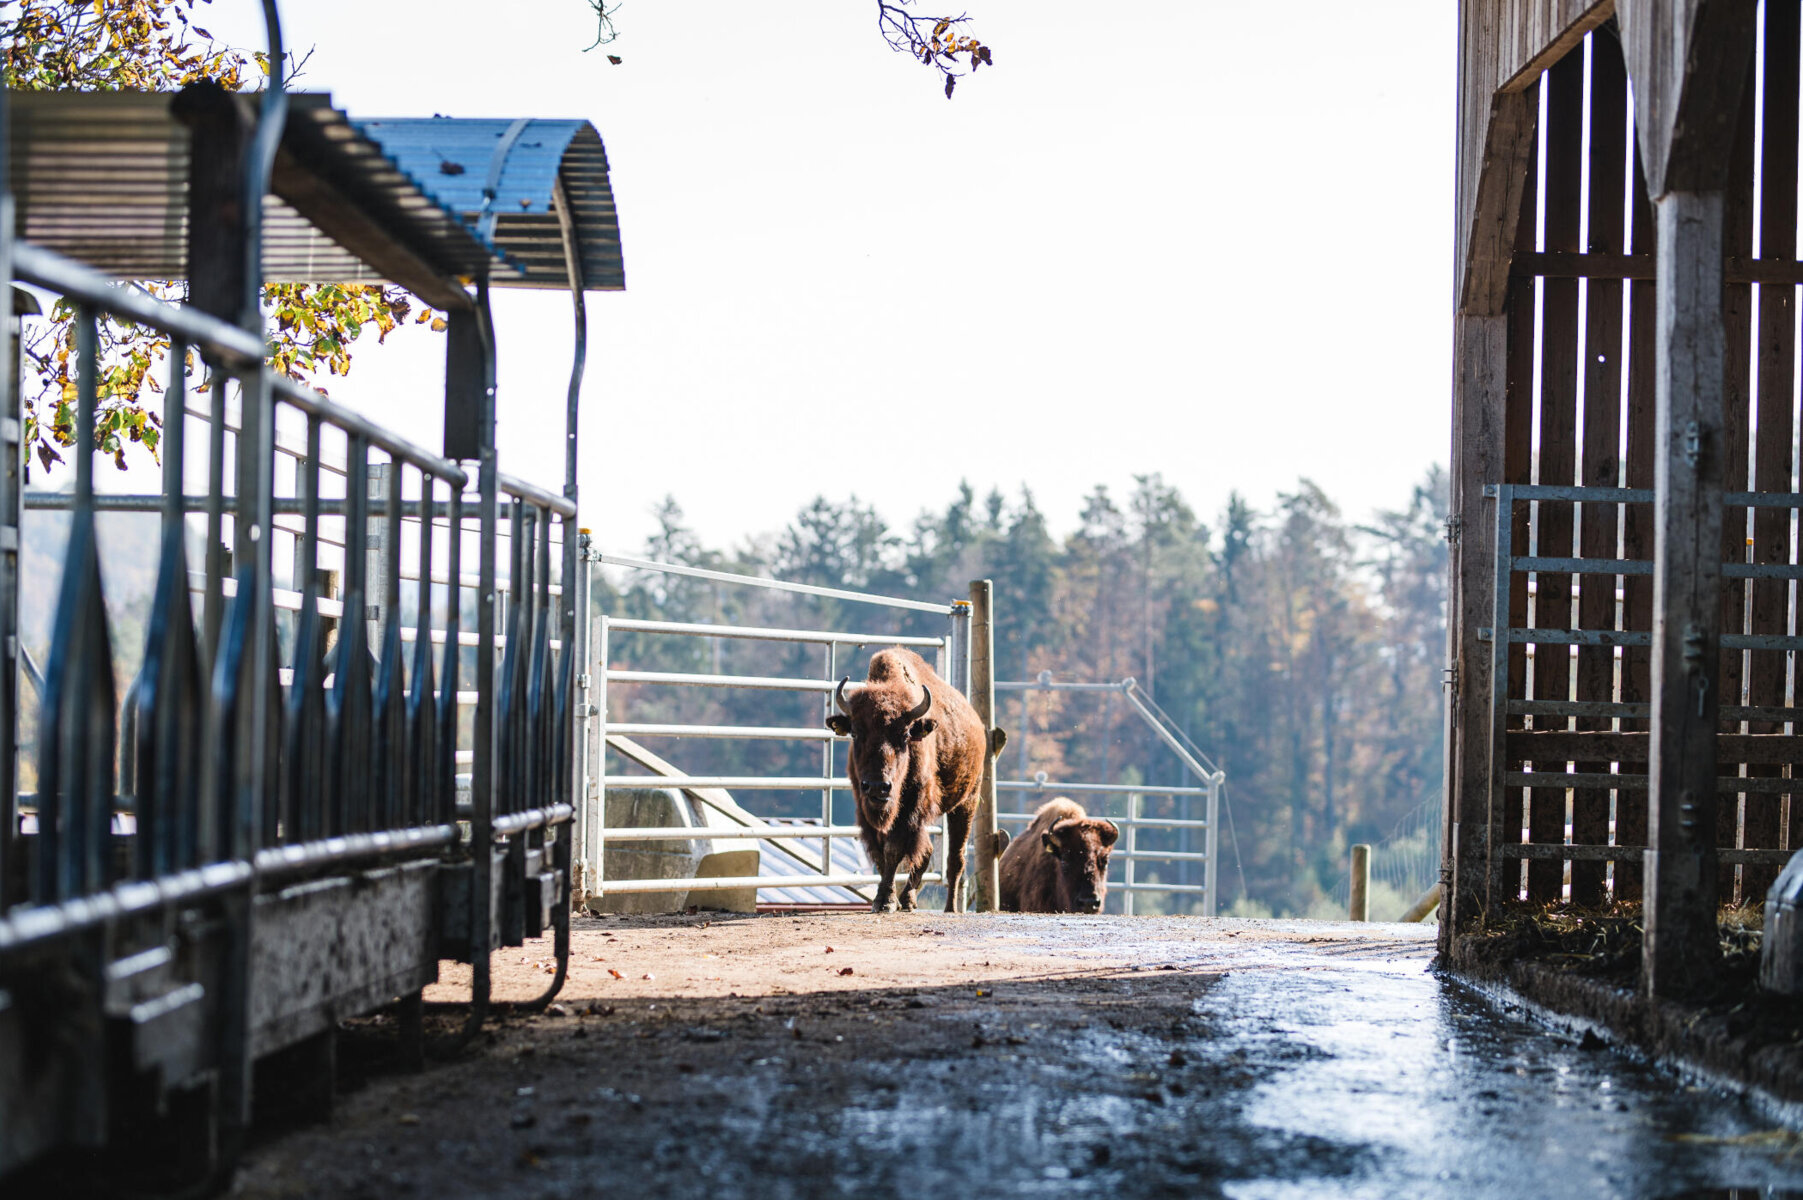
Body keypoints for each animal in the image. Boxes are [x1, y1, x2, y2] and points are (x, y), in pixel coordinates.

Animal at [825, 645, 995, 908]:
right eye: (855, 733)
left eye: (904, 735)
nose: (878, 787)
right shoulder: (865, 807)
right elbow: (880, 852)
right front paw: (885, 899)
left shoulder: (911, 806)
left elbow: (894, 848)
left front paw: (885, 901)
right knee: (927, 852)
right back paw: (908, 899)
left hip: (967, 802)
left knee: (955, 860)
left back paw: (949, 908)